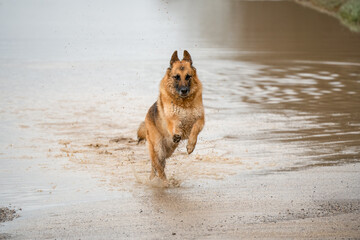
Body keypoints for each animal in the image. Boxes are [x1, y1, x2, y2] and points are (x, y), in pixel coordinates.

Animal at [138, 50, 204, 182]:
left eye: (188, 76)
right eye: (176, 77)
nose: (184, 90)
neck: (184, 104)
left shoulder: (200, 120)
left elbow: (195, 129)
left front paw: (191, 146)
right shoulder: (172, 119)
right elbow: (175, 124)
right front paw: (177, 133)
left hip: (169, 150)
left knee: (158, 165)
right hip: (158, 148)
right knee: (157, 166)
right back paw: (163, 182)